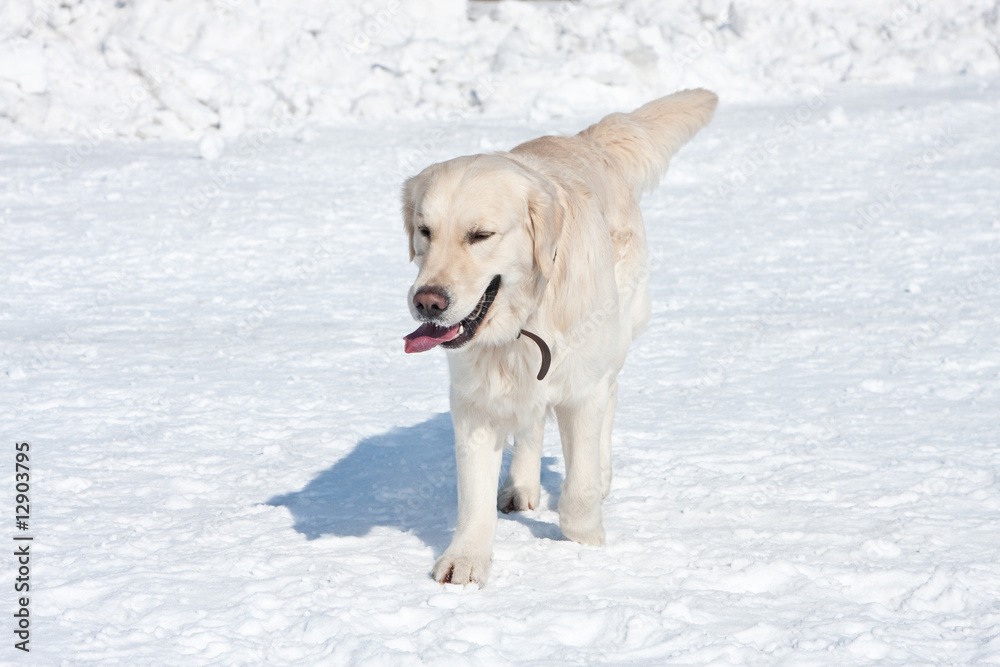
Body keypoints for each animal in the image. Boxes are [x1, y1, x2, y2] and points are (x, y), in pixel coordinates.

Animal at [402, 89, 718, 586]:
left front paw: (586, 541)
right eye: (425, 231)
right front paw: (466, 560)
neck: (525, 320)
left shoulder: (581, 390)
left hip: (617, 333)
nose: (427, 302)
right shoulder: (475, 401)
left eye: (480, 235)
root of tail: (584, 140)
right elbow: (473, 495)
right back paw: (520, 485)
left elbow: (580, 485)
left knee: (609, 397)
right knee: (531, 425)